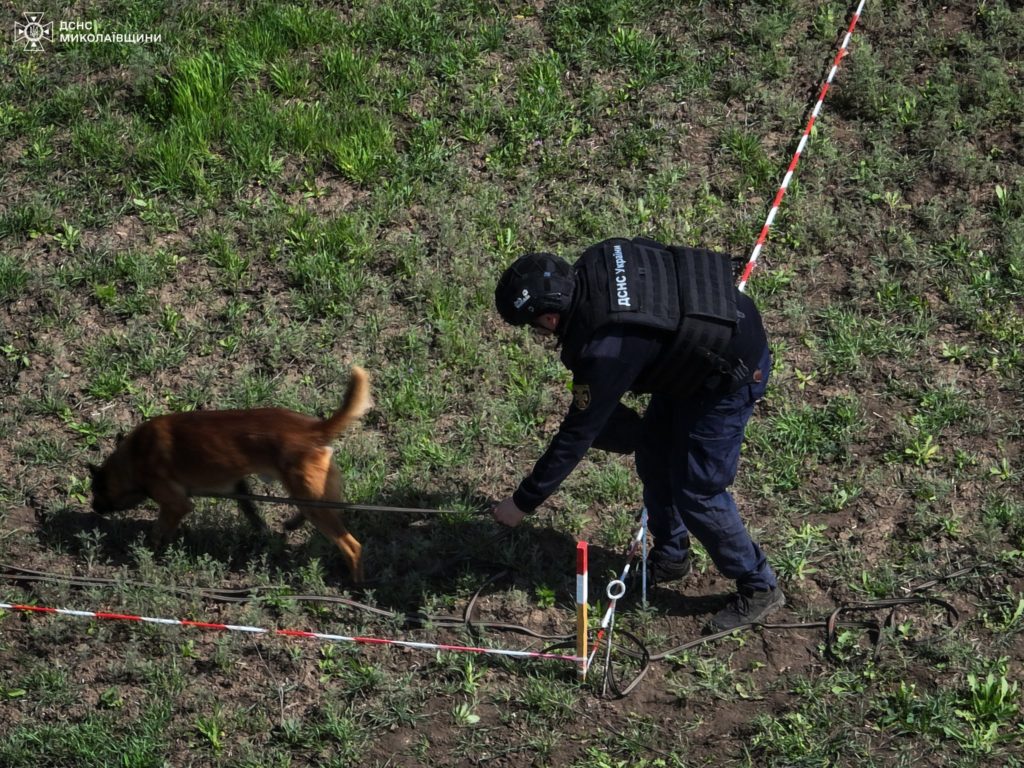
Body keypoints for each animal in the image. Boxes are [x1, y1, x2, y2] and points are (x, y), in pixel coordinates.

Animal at [89, 368, 372, 581]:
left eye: (96, 491)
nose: (93, 509)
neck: (132, 457)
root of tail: (312, 429)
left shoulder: (176, 504)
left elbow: (159, 530)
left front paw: (149, 552)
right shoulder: (237, 487)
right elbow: (252, 513)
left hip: (310, 498)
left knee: (352, 546)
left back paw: (356, 584)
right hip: (309, 494)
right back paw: (293, 524)